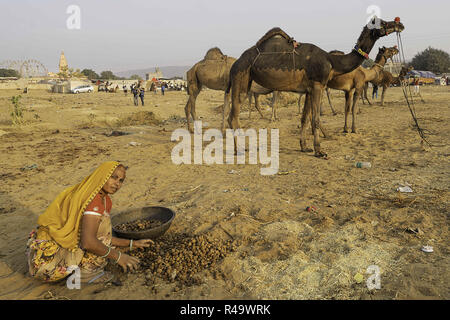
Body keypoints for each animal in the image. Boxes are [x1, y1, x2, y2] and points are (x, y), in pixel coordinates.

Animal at [229, 18, 404, 158]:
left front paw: (304, 147)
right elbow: (316, 119)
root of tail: (235, 63)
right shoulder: (318, 85)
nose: (399, 24)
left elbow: (304, 118)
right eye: (382, 22)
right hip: (241, 77)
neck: (333, 62)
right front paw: (319, 151)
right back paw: (240, 150)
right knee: (233, 117)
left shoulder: (308, 90)